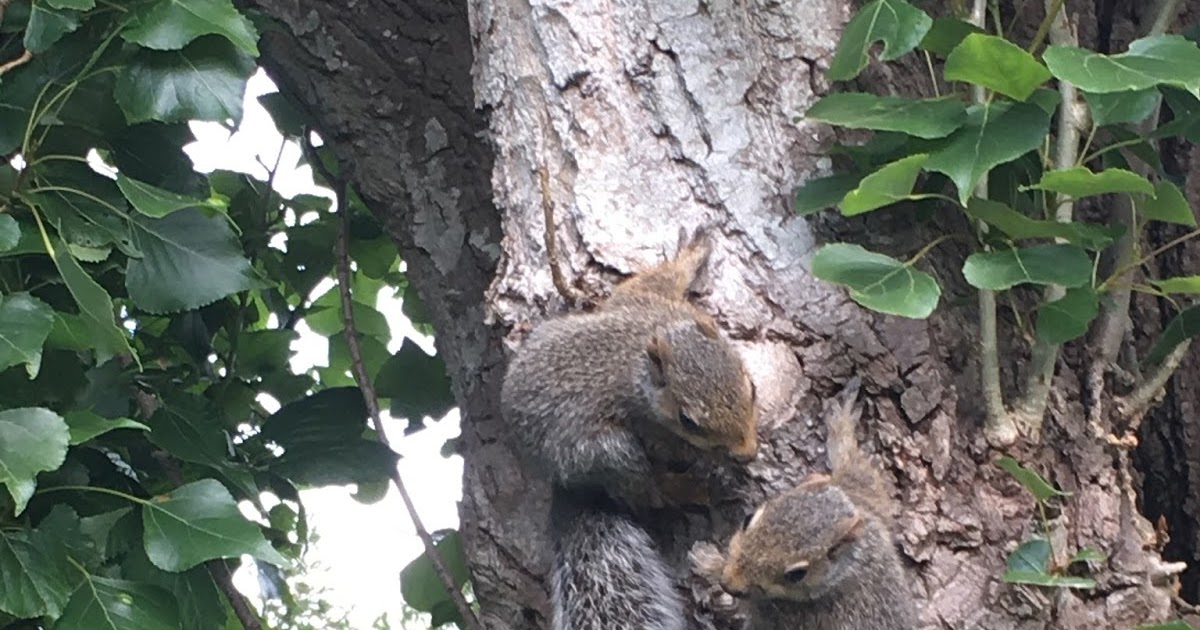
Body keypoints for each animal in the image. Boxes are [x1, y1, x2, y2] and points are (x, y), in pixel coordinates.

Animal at [500, 227, 759, 509]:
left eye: (752, 388)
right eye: (688, 422)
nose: (747, 453)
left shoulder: (641, 300)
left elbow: (659, 278)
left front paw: (689, 254)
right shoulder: (650, 426)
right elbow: (675, 451)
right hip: (605, 452)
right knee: (647, 491)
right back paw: (699, 490)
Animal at [716, 376, 917, 630]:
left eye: (797, 574)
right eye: (747, 519)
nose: (728, 583)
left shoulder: (787, 617)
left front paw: (706, 562)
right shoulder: (865, 500)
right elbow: (860, 469)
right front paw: (843, 418)